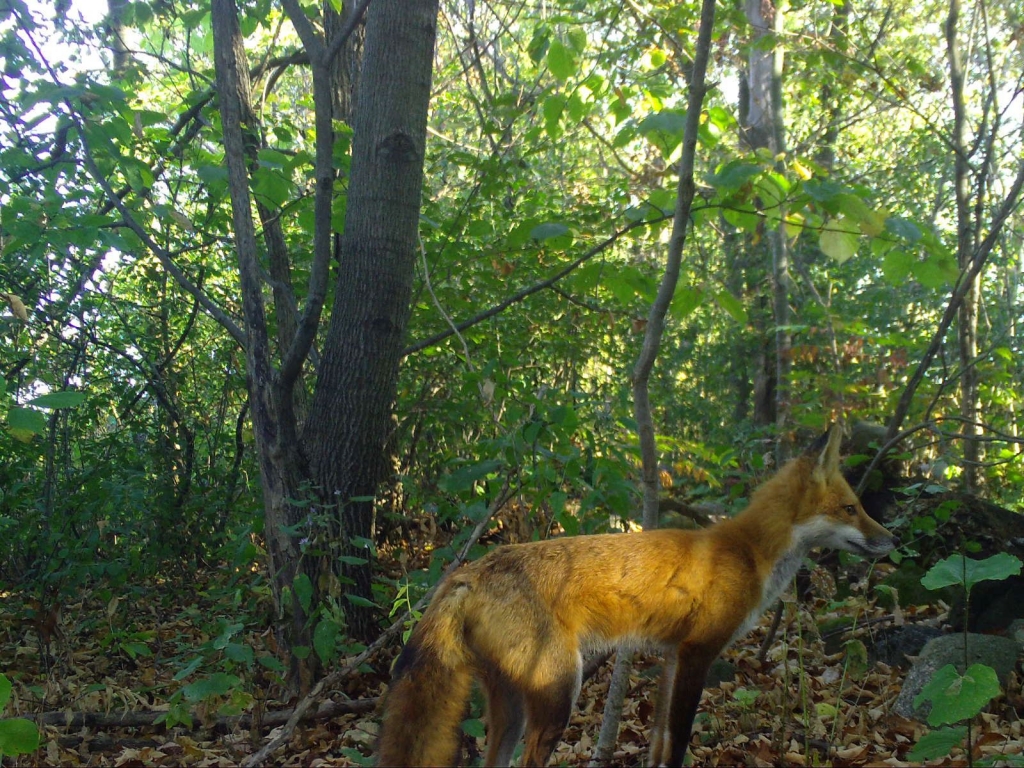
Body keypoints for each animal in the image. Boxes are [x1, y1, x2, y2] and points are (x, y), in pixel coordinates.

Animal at [376, 428, 897, 768]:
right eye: (851, 508)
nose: (892, 541)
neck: (749, 553)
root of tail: (468, 571)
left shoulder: (671, 657)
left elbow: (659, 743)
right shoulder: (697, 653)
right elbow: (679, 740)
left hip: (512, 707)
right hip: (559, 692)